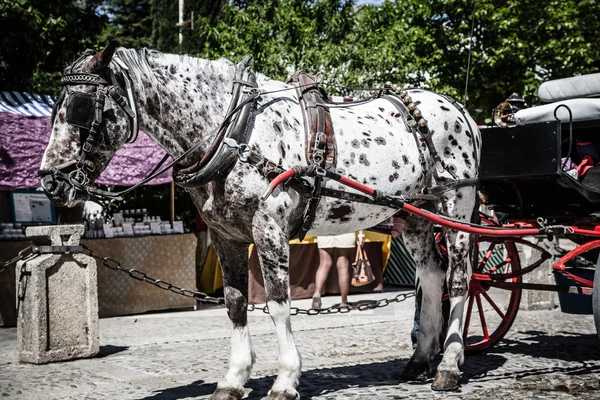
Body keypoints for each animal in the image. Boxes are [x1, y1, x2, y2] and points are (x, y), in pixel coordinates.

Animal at [39, 43, 482, 396]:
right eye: (53, 109)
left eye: (79, 108)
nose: (49, 180)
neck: (235, 134)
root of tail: (460, 109)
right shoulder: (225, 236)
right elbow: (235, 304)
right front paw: (234, 379)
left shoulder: (268, 229)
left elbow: (278, 305)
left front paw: (285, 380)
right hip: (415, 215)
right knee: (431, 274)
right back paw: (420, 359)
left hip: (457, 206)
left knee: (460, 279)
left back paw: (448, 365)